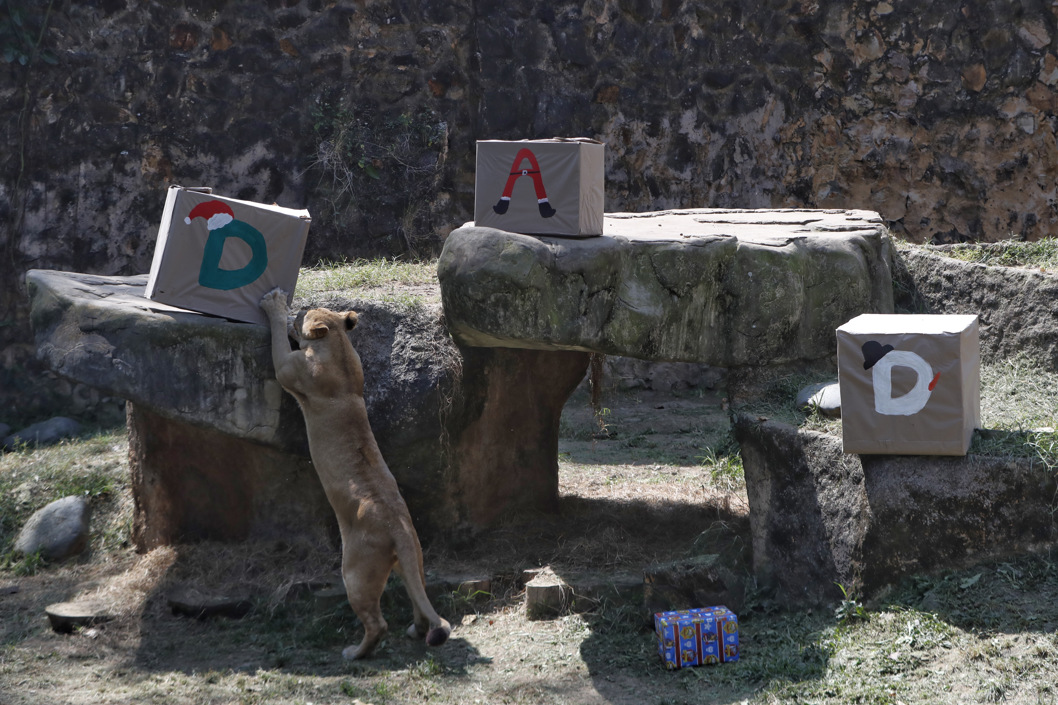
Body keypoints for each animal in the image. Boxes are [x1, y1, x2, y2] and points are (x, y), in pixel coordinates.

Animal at [262, 287, 452, 660]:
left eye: (301, 314)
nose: (296, 310)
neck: (337, 348)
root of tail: (399, 529)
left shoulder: (288, 369)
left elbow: (277, 341)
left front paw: (274, 306)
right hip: (413, 561)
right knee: (419, 597)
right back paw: (415, 630)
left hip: (355, 573)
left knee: (377, 624)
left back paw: (354, 653)